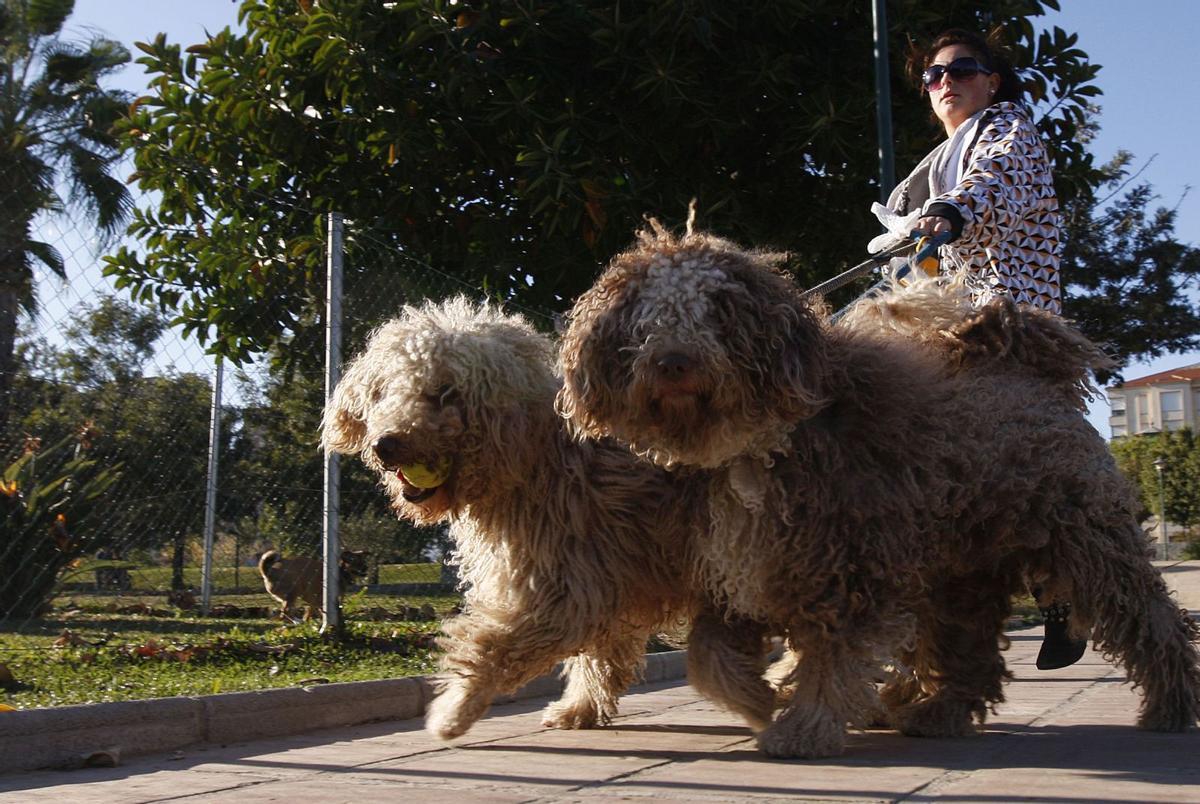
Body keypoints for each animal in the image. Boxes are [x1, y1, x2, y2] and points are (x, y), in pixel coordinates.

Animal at [324, 301, 710, 744]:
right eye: (383, 392)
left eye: (444, 392)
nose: (384, 444)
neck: (542, 458)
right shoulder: (605, 577)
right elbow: (600, 653)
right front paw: (579, 707)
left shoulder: (567, 582)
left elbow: (494, 645)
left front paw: (454, 709)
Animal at [561, 228, 1200, 763]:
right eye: (646, 317)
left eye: (718, 310)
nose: (673, 362)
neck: (753, 447)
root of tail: (1023, 360)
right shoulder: (743, 573)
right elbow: (709, 659)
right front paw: (761, 698)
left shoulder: (848, 568)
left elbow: (831, 659)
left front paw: (804, 727)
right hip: (961, 573)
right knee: (971, 653)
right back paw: (939, 713)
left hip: (1086, 541)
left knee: (1150, 620)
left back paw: (1169, 706)